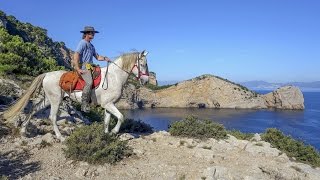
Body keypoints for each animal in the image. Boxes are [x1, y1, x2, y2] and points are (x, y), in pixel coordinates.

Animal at [3, 50, 149, 141]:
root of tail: (47, 74)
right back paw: (60, 137)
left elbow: (107, 121)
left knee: (34, 109)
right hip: (55, 101)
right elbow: (121, 117)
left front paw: (107, 135)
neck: (114, 77)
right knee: (52, 117)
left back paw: (23, 130)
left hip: (48, 100)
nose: (146, 81)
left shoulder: (108, 105)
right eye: (143, 64)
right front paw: (114, 132)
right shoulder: (108, 104)